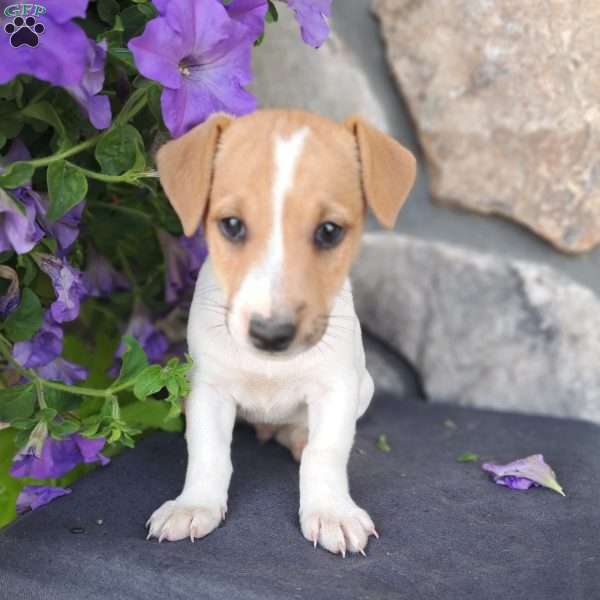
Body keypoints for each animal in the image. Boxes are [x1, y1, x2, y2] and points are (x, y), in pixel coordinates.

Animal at [146, 110, 418, 556]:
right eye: (232, 226)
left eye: (329, 231)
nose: (271, 334)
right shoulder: (208, 389)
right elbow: (208, 451)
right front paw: (194, 505)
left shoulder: (337, 388)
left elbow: (326, 453)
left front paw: (331, 512)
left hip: (364, 388)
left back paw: (297, 438)